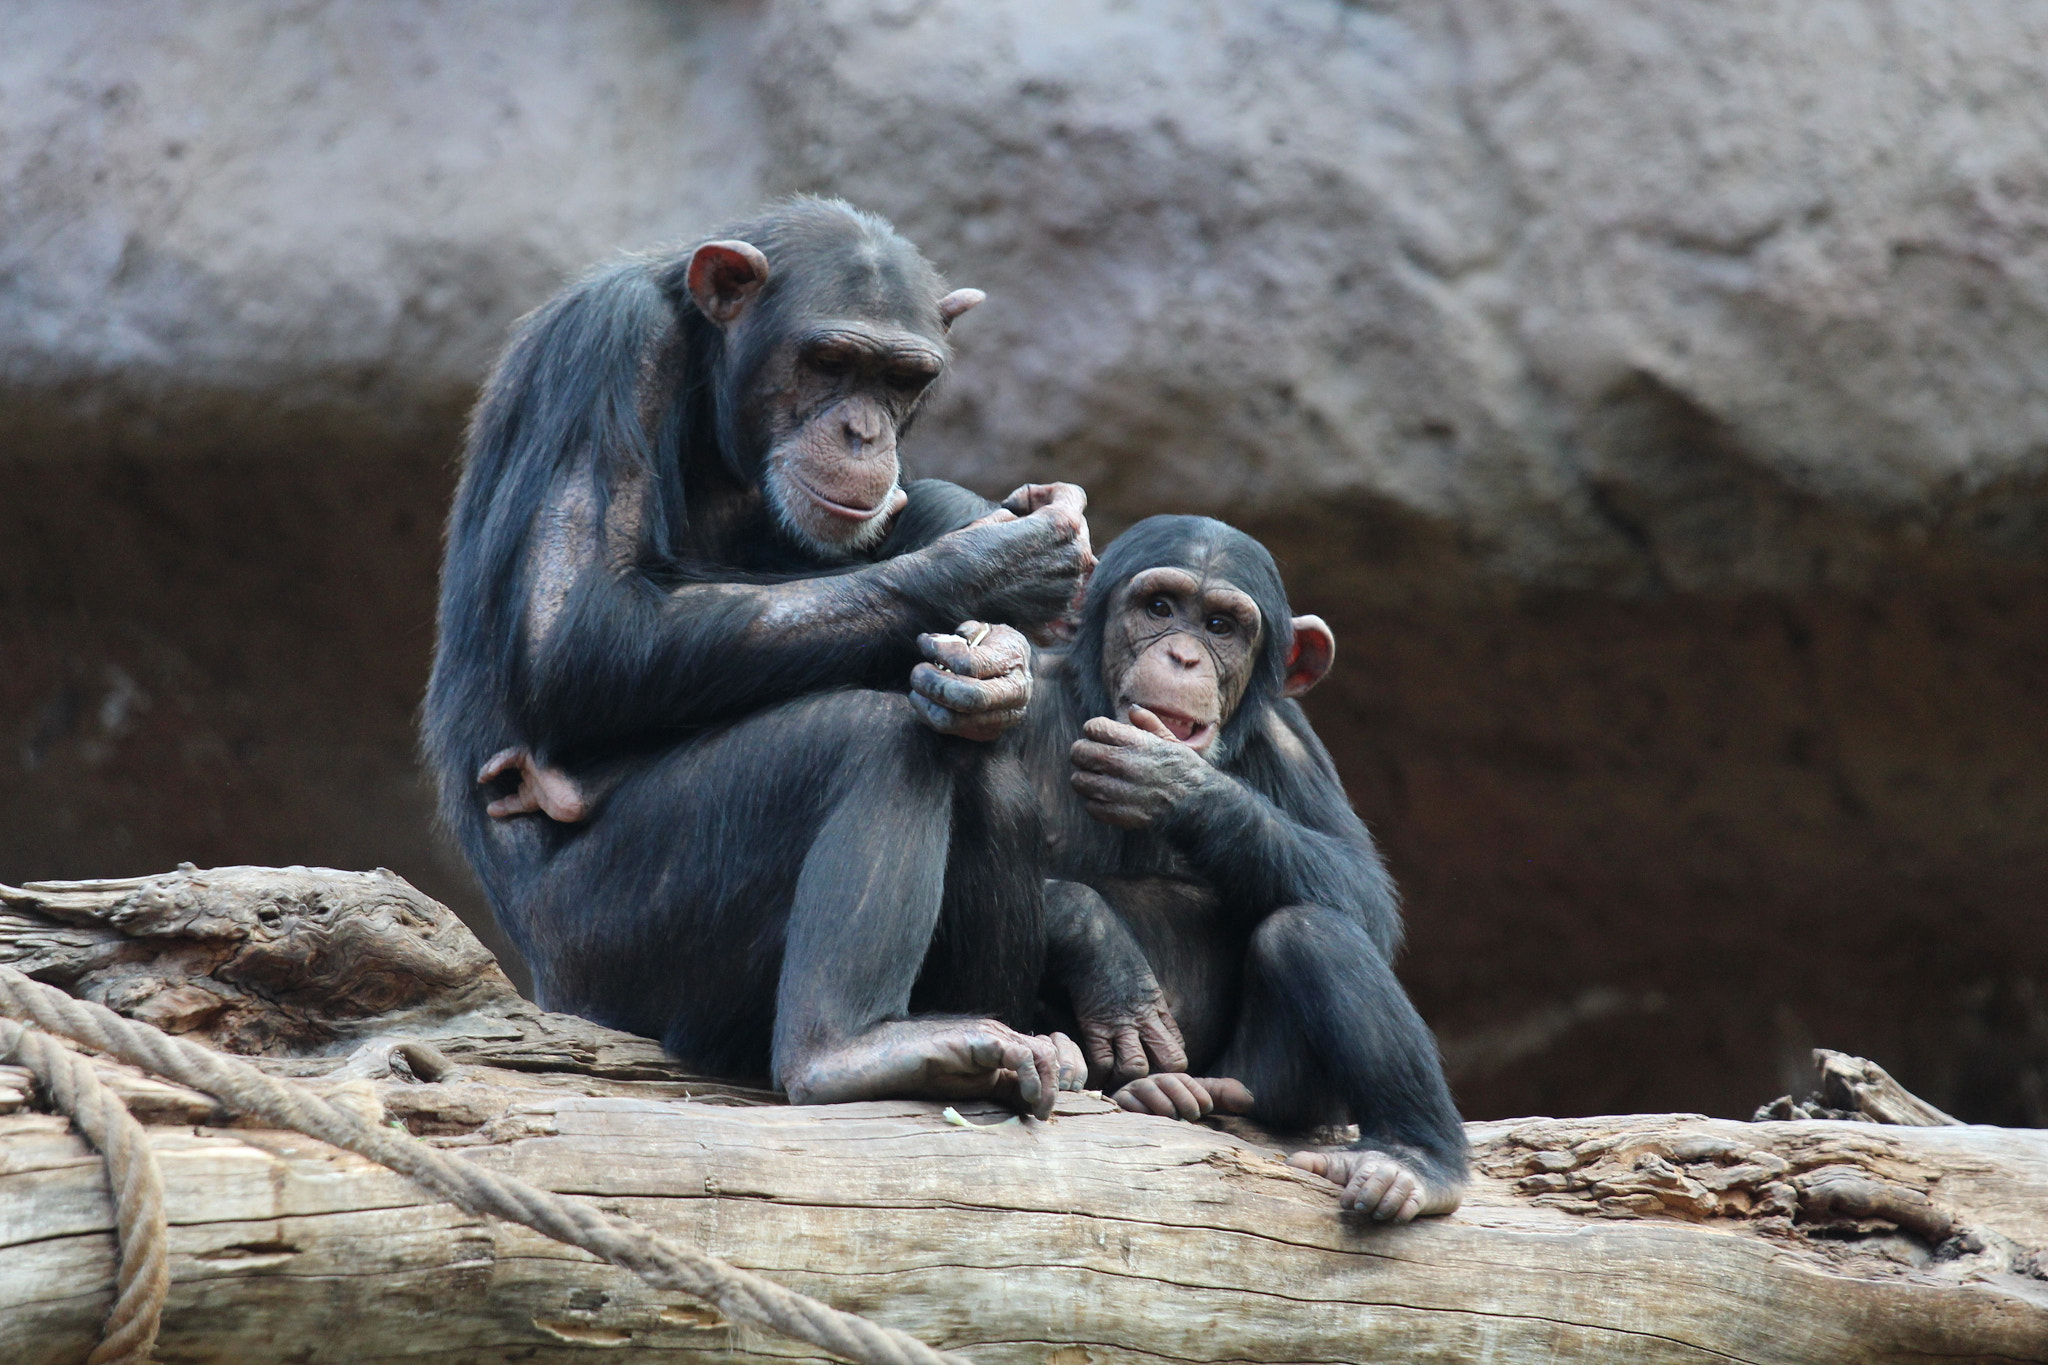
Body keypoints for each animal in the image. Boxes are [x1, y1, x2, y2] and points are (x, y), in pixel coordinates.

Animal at [413, 202, 1105, 1121]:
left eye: (901, 379)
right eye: (829, 362)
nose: (862, 431)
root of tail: (547, 983)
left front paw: (1002, 663)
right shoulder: (609, 349)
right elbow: (577, 634)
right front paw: (993, 567)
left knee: (981, 769)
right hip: (613, 940)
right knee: (869, 737)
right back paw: (848, 1049)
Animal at [1032, 517, 1466, 1219]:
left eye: (1219, 626)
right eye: (1159, 608)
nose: (1183, 657)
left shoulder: (1289, 739)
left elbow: (1366, 892)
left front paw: (1174, 782)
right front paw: (1101, 948)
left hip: (1275, 1093)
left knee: (1312, 932)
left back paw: (1416, 1161)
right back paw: (1149, 1090)